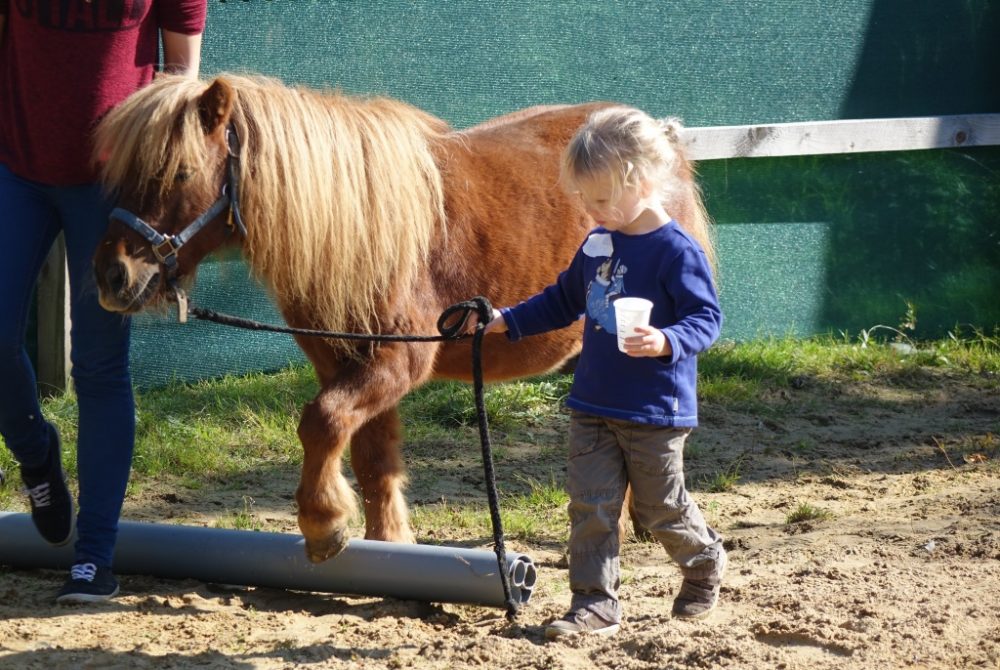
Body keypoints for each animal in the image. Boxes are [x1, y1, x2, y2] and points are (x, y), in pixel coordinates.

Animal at [90, 73, 708, 564]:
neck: (358, 226)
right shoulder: (343, 363)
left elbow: (322, 422)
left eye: (180, 172)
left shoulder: (396, 361)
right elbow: (370, 455)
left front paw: (324, 523)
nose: (112, 276)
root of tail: (661, 137)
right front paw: (388, 544)